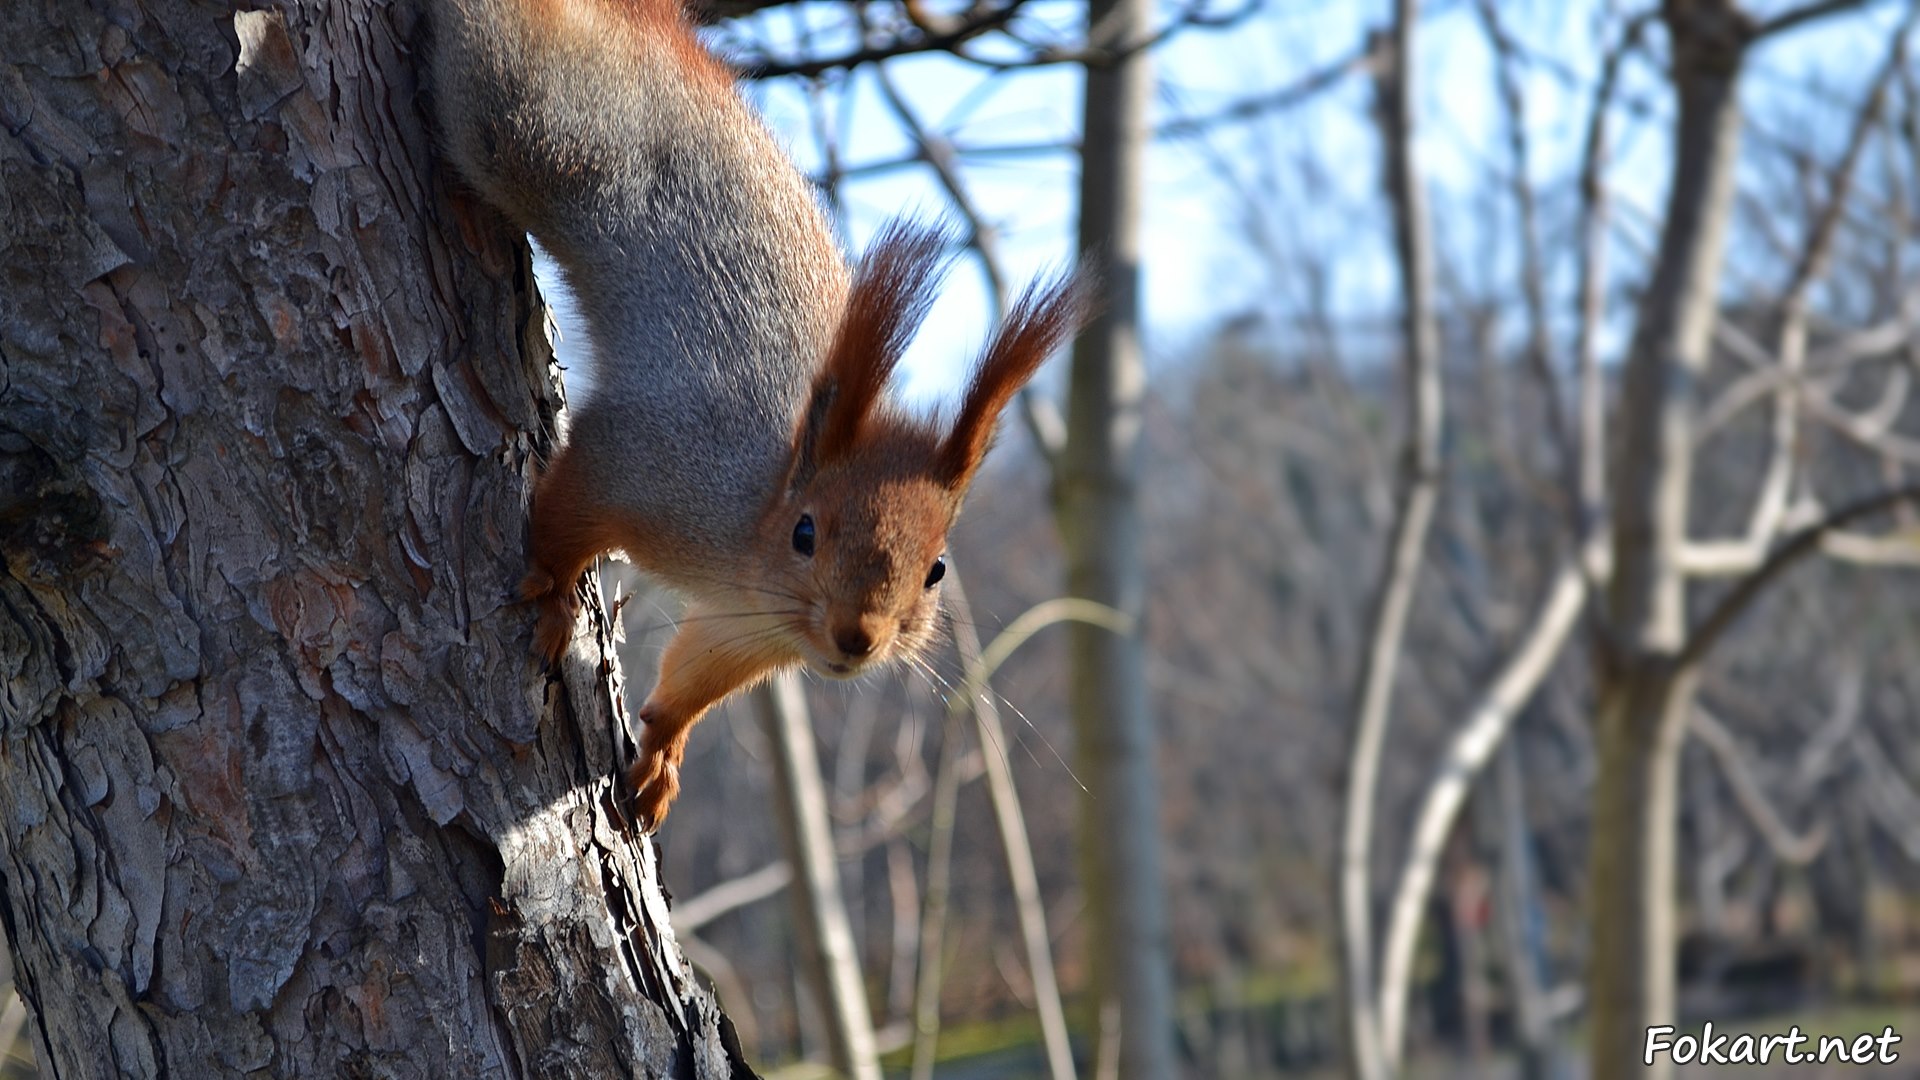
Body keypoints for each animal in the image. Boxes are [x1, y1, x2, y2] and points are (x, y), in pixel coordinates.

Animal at [430, 0, 1089, 828]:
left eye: (937, 568)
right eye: (806, 533)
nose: (857, 638)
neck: (757, 529)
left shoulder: (744, 629)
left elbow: (691, 680)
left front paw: (663, 755)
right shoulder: (648, 462)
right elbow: (565, 516)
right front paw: (552, 592)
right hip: (529, 119)